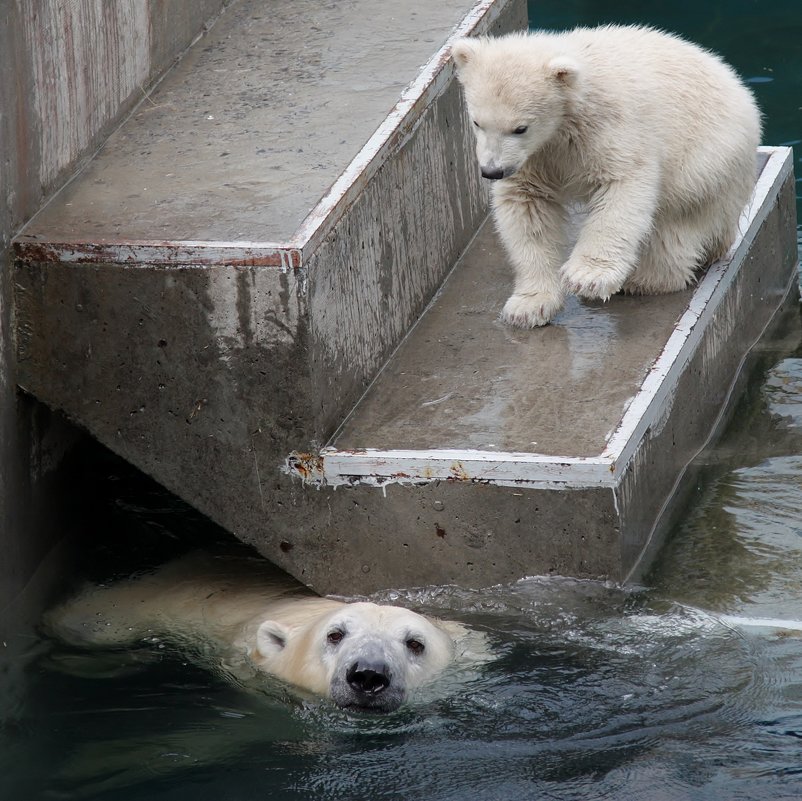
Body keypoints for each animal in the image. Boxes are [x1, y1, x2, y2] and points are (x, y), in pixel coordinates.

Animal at [454, 27, 760, 328]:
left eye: (520, 128)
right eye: (477, 122)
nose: (492, 171)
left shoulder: (607, 127)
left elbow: (623, 187)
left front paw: (587, 277)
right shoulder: (534, 159)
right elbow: (527, 209)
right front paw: (528, 306)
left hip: (703, 162)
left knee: (673, 224)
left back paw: (642, 280)